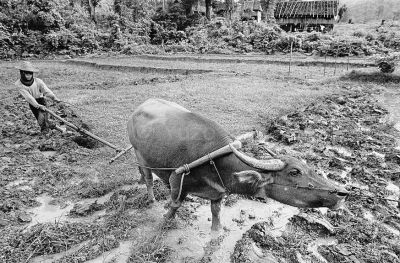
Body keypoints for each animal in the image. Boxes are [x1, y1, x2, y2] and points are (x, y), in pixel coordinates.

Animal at [128, 98, 346, 231]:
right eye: (294, 172)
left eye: (308, 167)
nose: (343, 193)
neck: (214, 161)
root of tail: (139, 108)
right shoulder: (177, 180)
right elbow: (173, 207)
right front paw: (165, 220)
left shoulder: (218, 194)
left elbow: (216, 215)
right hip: (140, 154)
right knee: (148, 178)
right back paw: (151, 199)